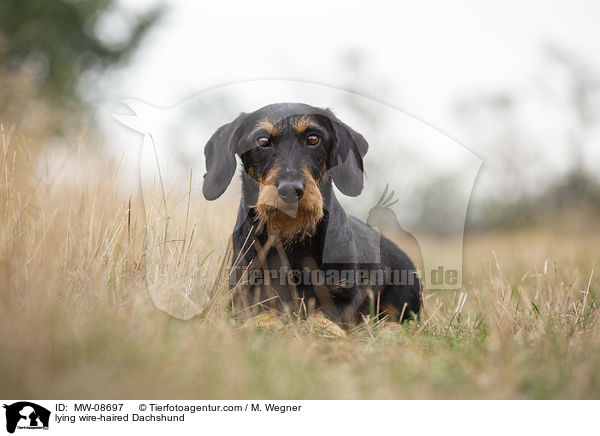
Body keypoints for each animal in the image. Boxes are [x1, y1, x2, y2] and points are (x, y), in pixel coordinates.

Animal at [204, 103, 420, 328]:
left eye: (313, 138)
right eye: (262, 141)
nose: (290, 190)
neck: (290, 236)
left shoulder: (343, 301)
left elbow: (321, 318)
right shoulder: (242, 295)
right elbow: (262, 315)